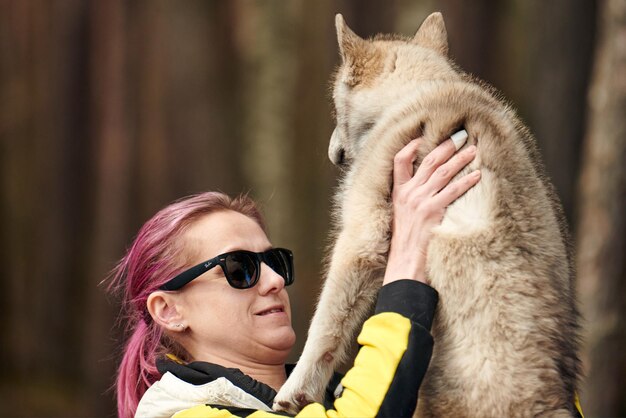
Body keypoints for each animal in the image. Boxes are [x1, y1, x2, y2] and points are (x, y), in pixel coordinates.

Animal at [274, 13, 580, 418]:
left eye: (336, 109)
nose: (332, 155)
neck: (422, 88)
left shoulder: (360, 238)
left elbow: (323, 325)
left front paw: (295, 391)